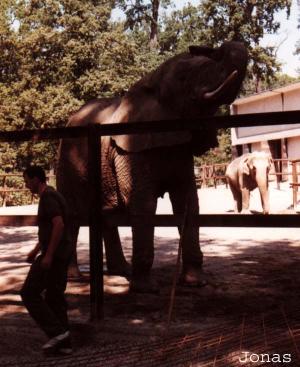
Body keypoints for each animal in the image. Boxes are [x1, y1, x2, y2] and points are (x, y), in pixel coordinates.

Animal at [56, 40, 248, 294]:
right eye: (184, 77)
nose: (200, 46)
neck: (150, 82)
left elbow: (188, 201)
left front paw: (197, 282)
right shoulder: (131, 150)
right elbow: (143, 202)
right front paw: (146, 289)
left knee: (107, 214)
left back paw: (122, 271)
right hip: (68, 160)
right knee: (73, 212)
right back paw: (74, 277)